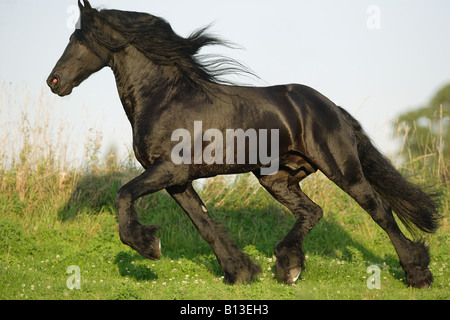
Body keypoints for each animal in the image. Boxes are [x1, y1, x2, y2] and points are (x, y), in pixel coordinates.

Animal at [47, 0, 442, 288]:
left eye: (79, 41)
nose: (54, 82)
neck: (165, 98)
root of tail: (331, 108)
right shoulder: (177, 180)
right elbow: (204, 223)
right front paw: (241, 272)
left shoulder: (168, 171)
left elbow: (124, 195)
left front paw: (148, 246)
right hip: (275, 178)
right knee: (311, 211)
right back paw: (289, 268)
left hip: (343, 170)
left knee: (380, 211)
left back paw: (418, 274)